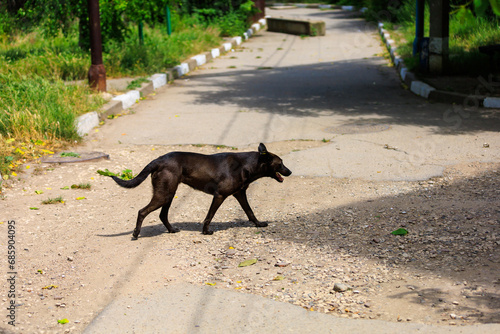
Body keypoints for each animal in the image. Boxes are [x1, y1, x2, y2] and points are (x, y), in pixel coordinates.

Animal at [107, 144, 292, 237]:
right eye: (280, 163)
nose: (290, 172)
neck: (246, 164)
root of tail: (158, 160)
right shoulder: (219, 196)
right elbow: (209, 216)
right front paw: (206, 231)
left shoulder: (240, 194)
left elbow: (250, 212)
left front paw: (258, 224)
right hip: (164, 195)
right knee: (142, 211)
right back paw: (136, 233)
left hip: (169, 194)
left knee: (162, 215)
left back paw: (172, 230)